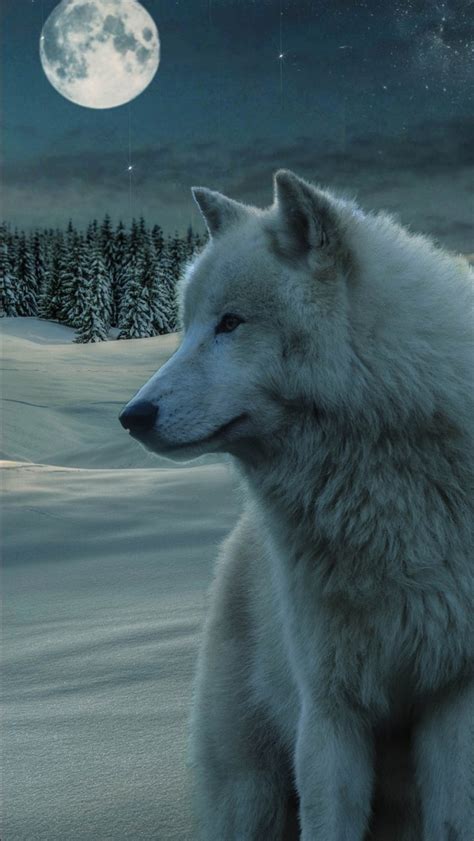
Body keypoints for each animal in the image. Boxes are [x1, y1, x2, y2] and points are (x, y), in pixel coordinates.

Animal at [119, 167, 474, 836]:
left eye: (231, 323)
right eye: (188, 325)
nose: (132, 416)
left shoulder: (455, 694)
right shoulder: (330, 709)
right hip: (250, 792)